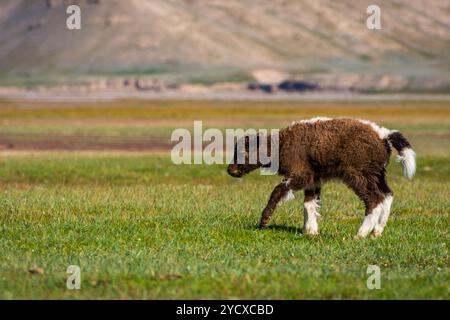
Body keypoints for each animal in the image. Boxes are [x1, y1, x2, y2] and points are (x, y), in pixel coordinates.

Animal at [227, 117, 416, 238]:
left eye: (243, 151)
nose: (230, 170)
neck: (281, 144)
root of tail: (383, 135)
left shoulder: (301, 175)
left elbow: (279, 191)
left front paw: (264, 221)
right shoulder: (314, 179)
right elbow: (309, 203)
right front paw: (311, 231)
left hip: (357, 174)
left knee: (374, 199)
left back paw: (360, 234)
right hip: (377, 174)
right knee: (388, 195)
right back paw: (376, 232)